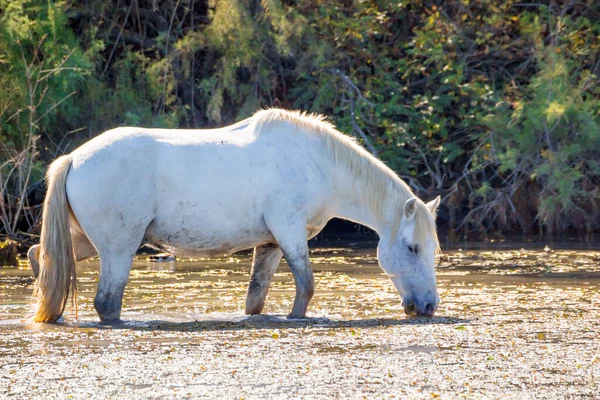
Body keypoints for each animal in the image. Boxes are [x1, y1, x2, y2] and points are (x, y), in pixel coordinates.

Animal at [29, 108, 440, 322]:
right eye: (412, 248)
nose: (429, 306)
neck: (317, 162)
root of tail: (74, 158)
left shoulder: (272, 243)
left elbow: (255, 298)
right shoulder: (290, 233)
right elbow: (306, 285)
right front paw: (296, 319)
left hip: (89, 242)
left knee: (38, 257)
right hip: (119, 248)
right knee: (107, 303)